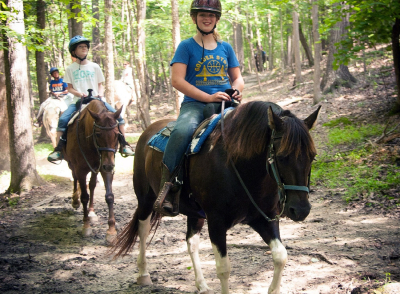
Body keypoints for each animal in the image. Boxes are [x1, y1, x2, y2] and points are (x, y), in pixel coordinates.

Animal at [63, 100, 122, 242]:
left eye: (117, 134)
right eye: (98, 134)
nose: (109, 165)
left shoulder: (103, 167)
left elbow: (109, 196)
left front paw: (111, 231)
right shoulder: (80, 169)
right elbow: (84, 196)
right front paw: (86, 226)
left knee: (92, 185)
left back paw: (91, 212)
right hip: (72, 163)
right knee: (74, 177)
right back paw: (75, 200)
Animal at [112, 100, 322, 292]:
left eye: (312, 156)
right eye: (282, 157)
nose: (301, 210)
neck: (240, 168)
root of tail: (147, 132)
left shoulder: (263, 218)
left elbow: (280, 256)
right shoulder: (216, 222)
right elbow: (223, 268)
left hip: (194, 213)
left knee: (191, 242)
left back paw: (202, 285)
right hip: (145, 199)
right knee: (143, 230)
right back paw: (143, 274)